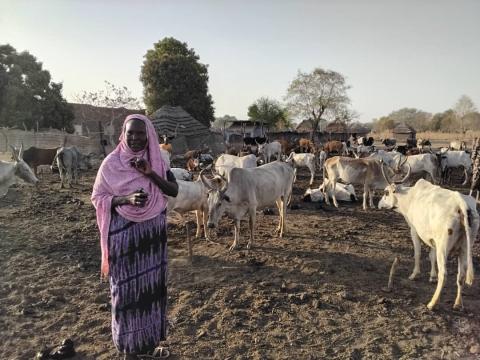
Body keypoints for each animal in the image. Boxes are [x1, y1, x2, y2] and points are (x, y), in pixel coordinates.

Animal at [378, 172, 480, 310]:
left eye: (386, 192)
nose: (379, 204)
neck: (409, 198)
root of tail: (461, 203)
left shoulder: (414, 230)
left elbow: (417, 253)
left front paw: (414, 274)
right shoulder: (432, 238)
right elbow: (432, 256)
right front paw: (432, 276)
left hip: (443, 247)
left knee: (444, 274)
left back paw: (432, 303)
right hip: (465, 247)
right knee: (461, 275)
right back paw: (458, 304)